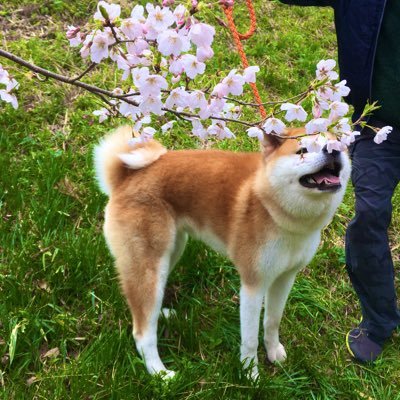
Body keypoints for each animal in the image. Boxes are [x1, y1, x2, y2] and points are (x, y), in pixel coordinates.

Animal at [94, 126, 350, 380]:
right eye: (303, 150)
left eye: (338, 144)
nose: (333, 151)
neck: (278, 213)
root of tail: (126, 177)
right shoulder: (253, 285)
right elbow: (249, 339)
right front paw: (250, 374)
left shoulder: (285, 277)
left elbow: (272, 321)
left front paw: (273, 351)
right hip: (149, 265)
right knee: (142, 331)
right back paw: (159, 372)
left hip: (171, 252)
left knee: (146, 309)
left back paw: (162, 314)